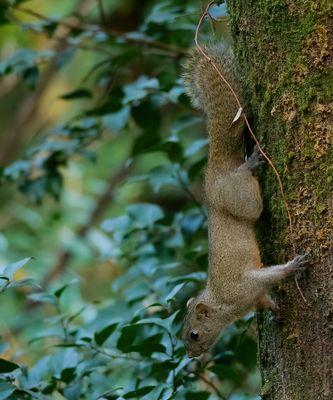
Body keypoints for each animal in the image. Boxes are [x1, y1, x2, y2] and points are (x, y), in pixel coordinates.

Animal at [182, 43, 306, 356]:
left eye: (194, 335)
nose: (191, 355)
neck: (224, 306)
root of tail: (214, 171)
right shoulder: (253, 298)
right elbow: (265, 300)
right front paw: (276, 312)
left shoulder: (243, 287)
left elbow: (270, 276)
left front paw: (291, 267)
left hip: (238, 193)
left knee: (252, 205)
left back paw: (250, 164)